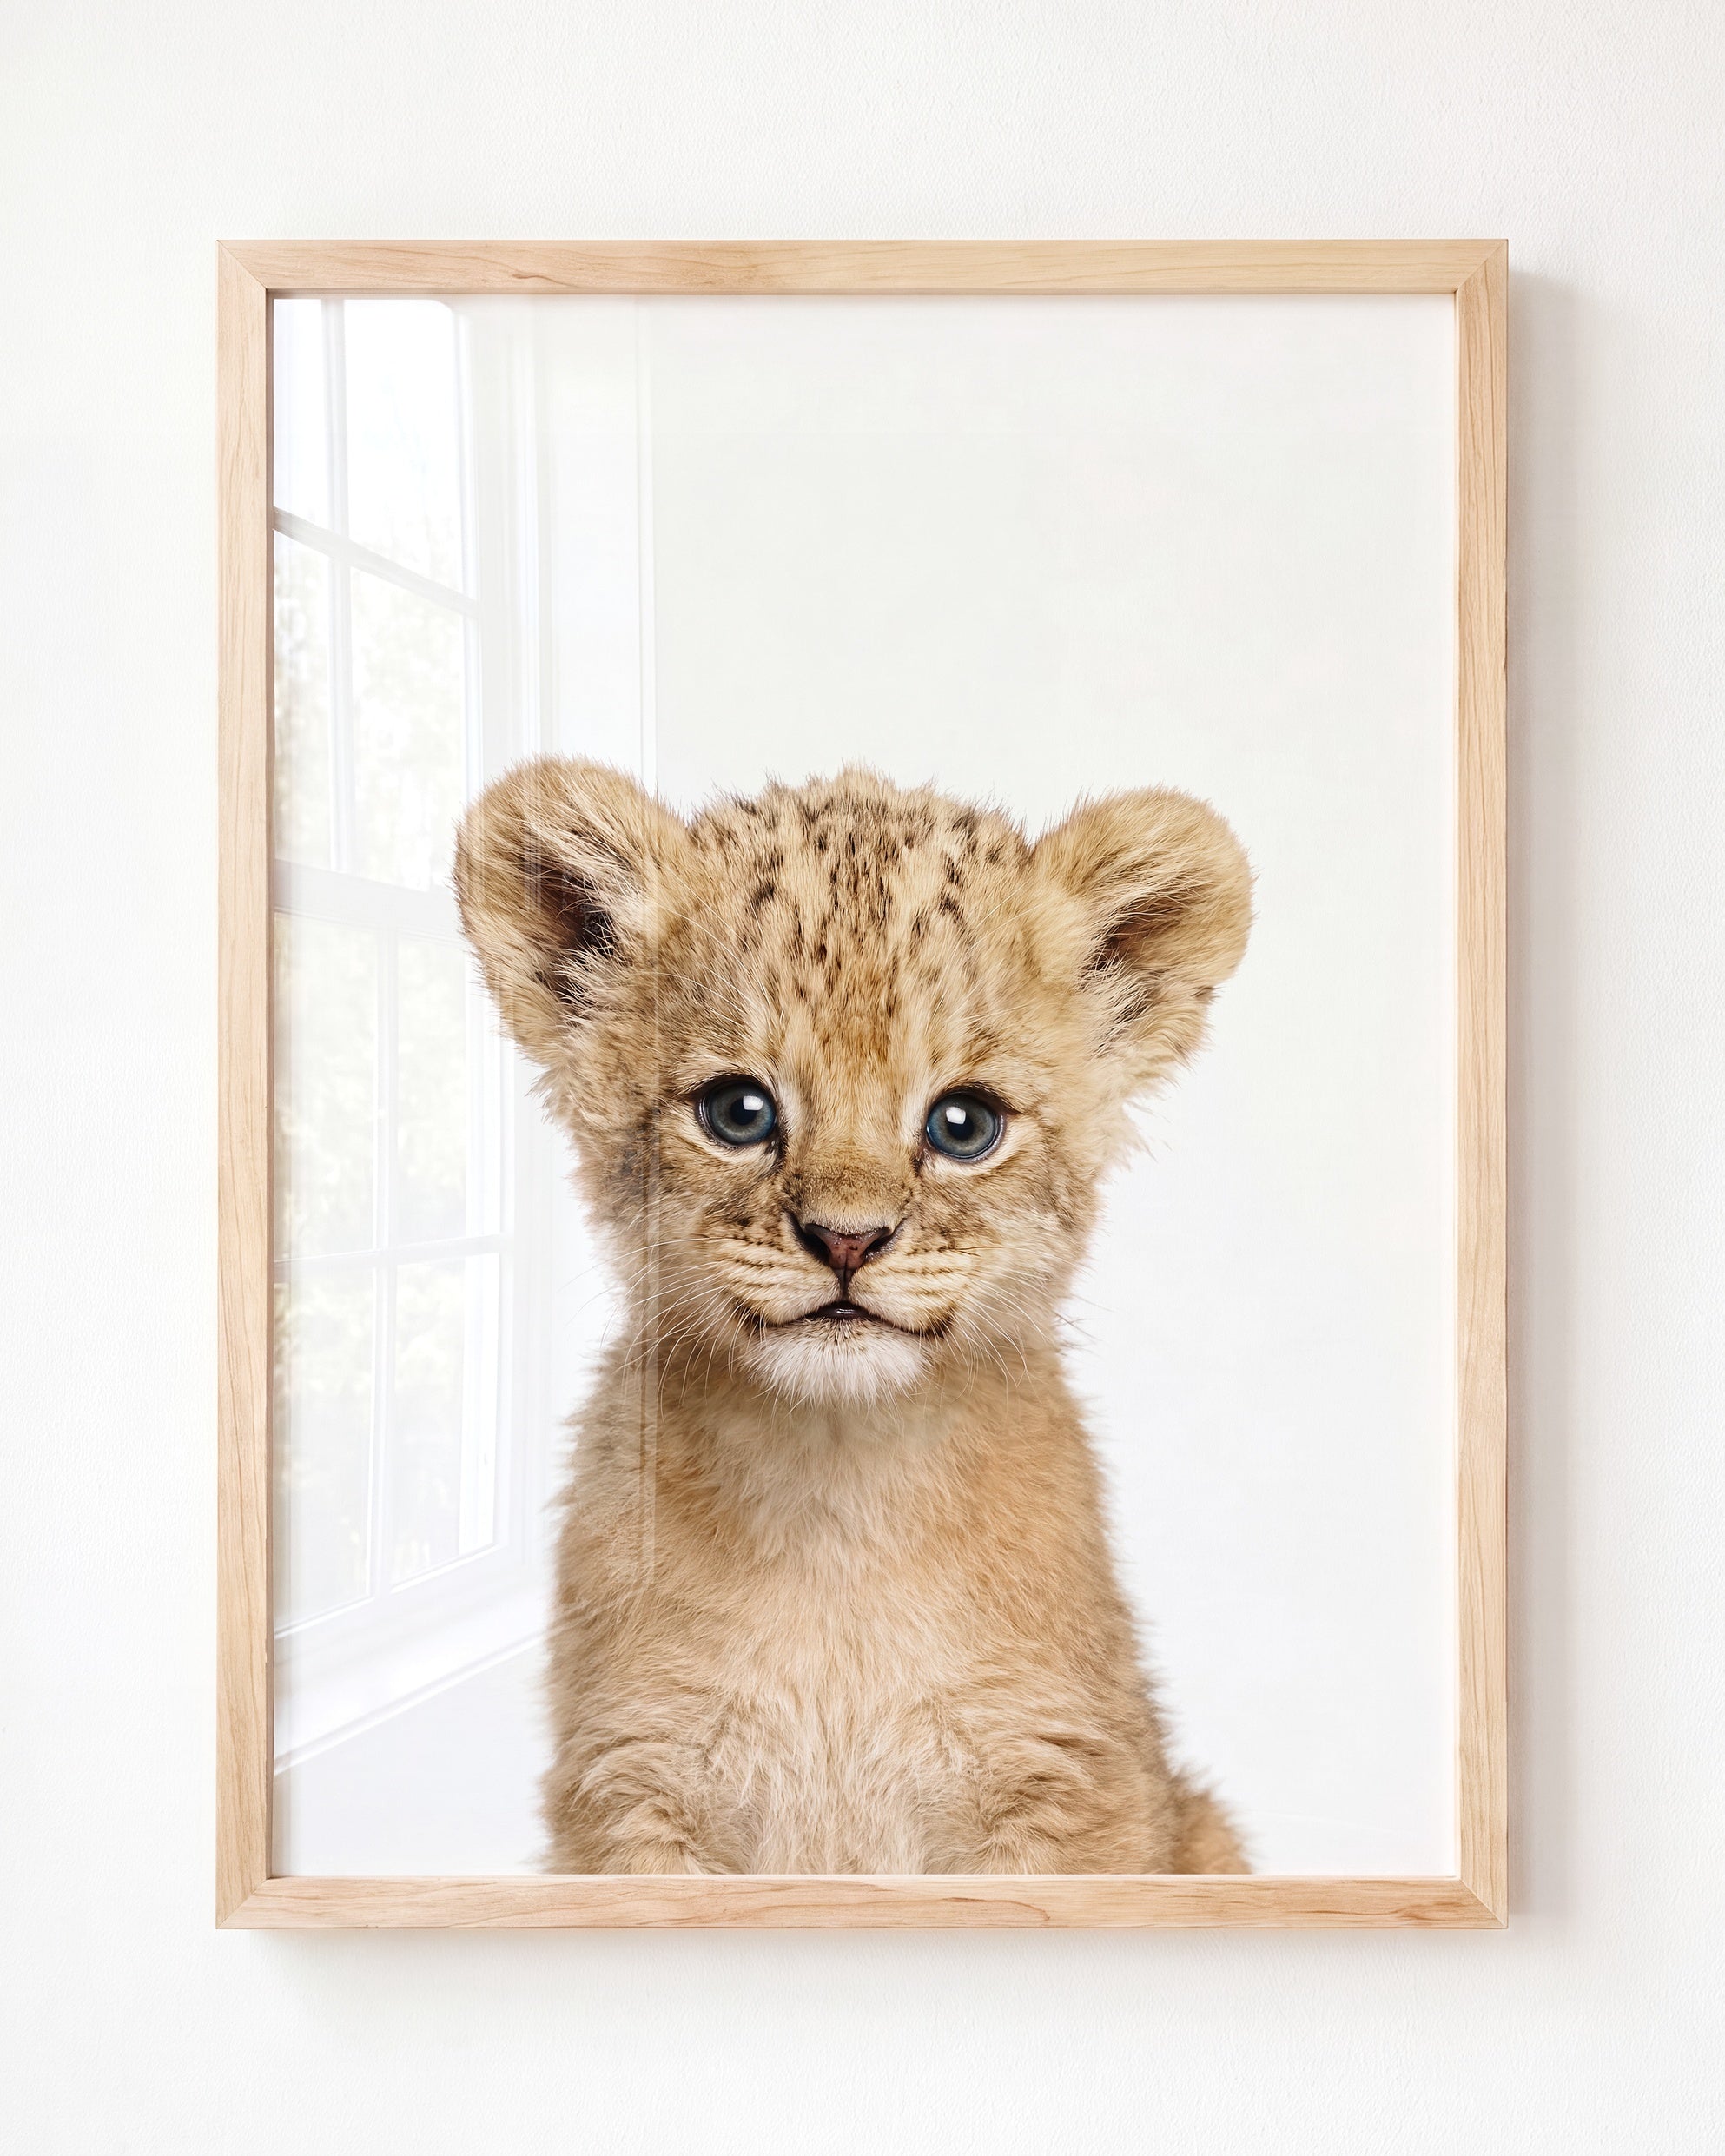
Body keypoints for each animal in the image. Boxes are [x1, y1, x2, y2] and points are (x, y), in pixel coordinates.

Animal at [454, 759, 1252, 1874]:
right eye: (738, 1112)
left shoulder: (1069, 1779)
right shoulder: (633, 1784)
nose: (846, 1240)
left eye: (964, 1125)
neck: (837, 1499)